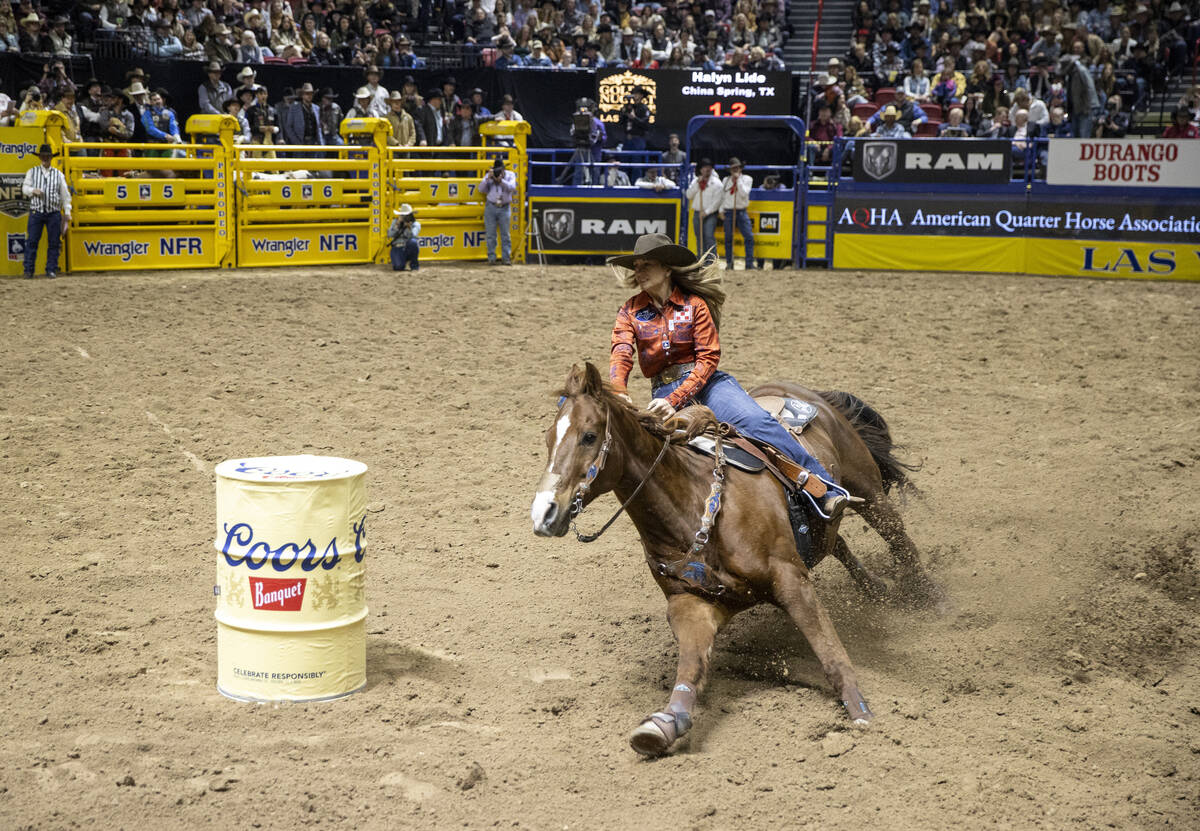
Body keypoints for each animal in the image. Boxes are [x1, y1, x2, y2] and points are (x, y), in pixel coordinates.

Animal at [532, 360, 936, 754]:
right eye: (549, 438)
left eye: (589, 436)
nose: (544, 513)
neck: (695, 505)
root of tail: (805, 392)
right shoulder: (692, 603)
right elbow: (690, 667)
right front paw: (663, 724)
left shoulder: (791, 579)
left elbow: (829, 650)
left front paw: (860, 712)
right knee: (836, 543)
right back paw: (877, 588)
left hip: (867, 489)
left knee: (900, 541)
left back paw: (930, 597)